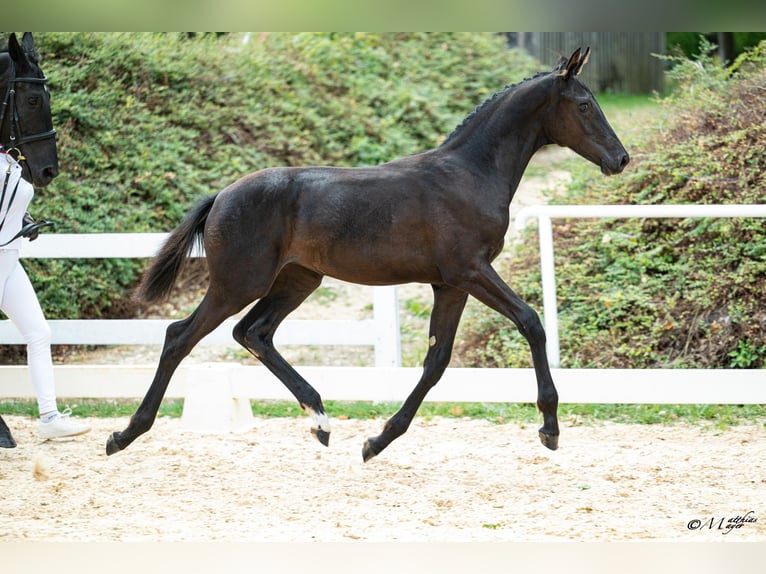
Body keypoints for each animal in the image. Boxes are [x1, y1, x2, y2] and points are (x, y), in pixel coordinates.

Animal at [106, 47, 629, 461]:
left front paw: (377, 441)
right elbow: (531, 322)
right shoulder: (471, 270)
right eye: (585, 105)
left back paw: (320, 420)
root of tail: (221, 196)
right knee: (180, 336)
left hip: (297, 280)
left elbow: (437, 361)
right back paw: (124, 435)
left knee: (253, 332)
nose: (620, 159)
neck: (469, 173)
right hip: (238, 282)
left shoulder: (450, 283)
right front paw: (550, 429)